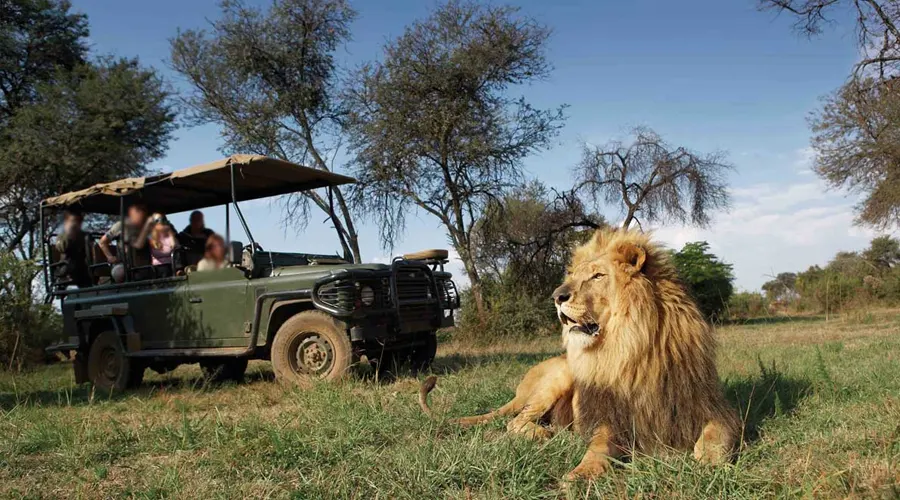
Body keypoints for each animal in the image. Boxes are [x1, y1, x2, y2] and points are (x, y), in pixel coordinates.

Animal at [420, 229, 740, 480]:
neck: (632, 350)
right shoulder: (608, 418)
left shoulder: (711, 409)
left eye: (598, 276)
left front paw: (709, 464)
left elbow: (715, 437)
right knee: (515, 421)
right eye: (573, 277)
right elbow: (597, 448)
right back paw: (545, 434)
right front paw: (580, 475)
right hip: (559, 375)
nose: (556, 296)